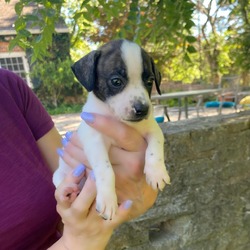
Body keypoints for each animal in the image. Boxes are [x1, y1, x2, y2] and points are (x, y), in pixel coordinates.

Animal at [52, 38, 170, 219]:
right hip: (59, 176)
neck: (118, 118)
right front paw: (107, 200)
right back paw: (70, 190)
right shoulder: (94, 141)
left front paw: (156, 172)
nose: (142, 109)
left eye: (149, 81)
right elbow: (106, 170)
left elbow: (155, 148)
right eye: (116, 81)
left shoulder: (152, 129)